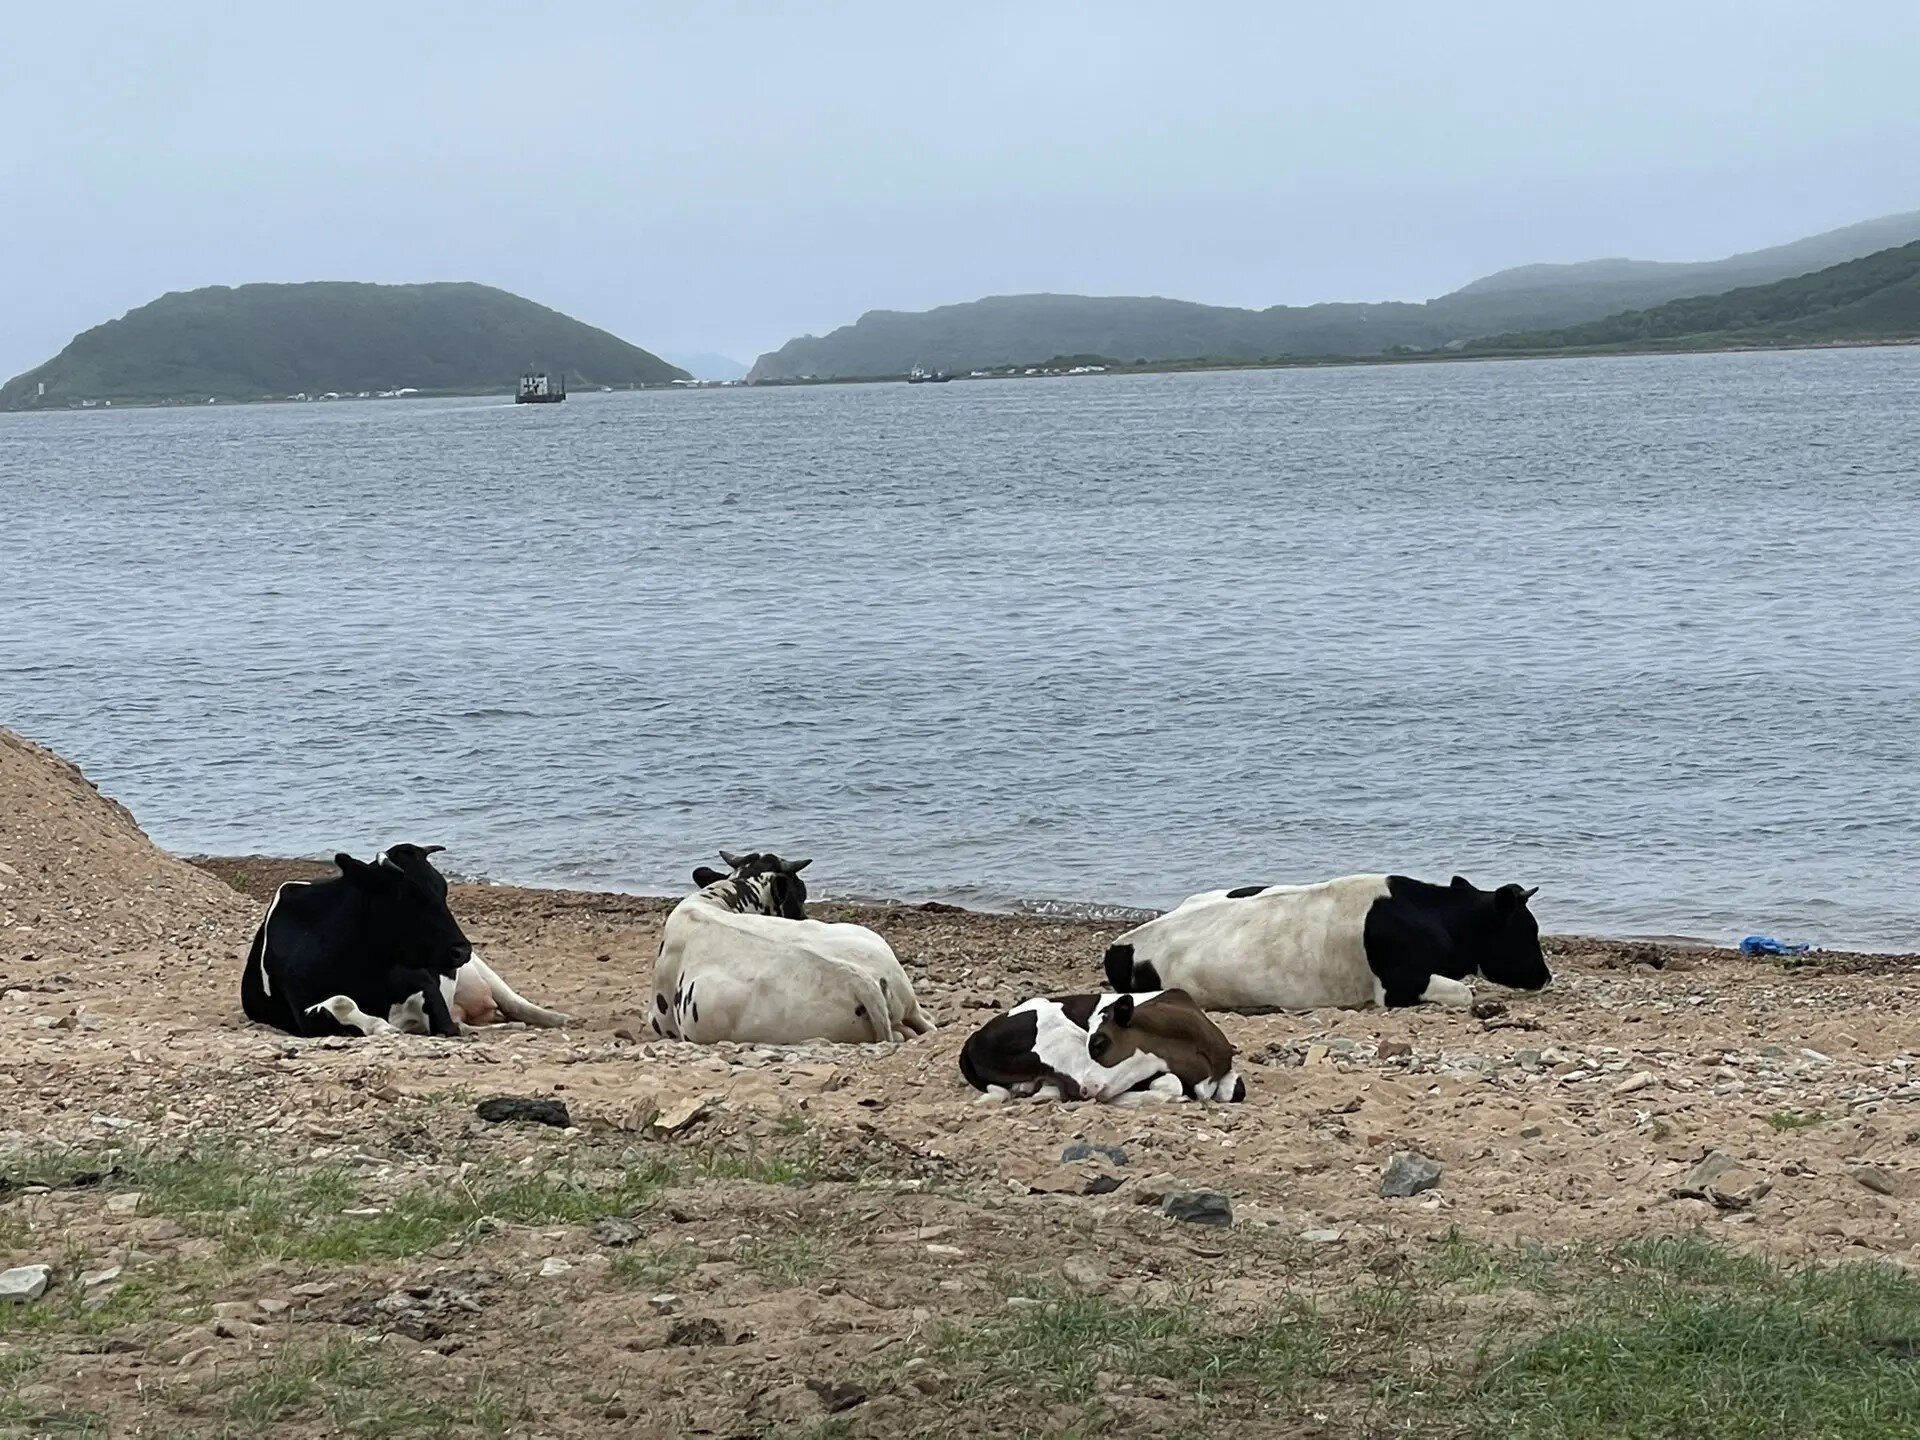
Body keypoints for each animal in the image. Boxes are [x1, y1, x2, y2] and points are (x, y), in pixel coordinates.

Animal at [240, 844, 569, 1038]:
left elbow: (442, 1019)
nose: (461, 949)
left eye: (443, 890)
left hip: (481, 970)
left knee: (514, 1002)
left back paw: (558, 1018)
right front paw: (381, 1027)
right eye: (407, 897)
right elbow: (341, 1001)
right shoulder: (301, 1016)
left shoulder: (425, 982)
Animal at [959, 989, 1245, 1105]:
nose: (1089, 1089)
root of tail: (973, 1040)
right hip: (1063, 1038)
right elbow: (1171, 1085)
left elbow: (1235, 1089)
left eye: (1098, 1043)